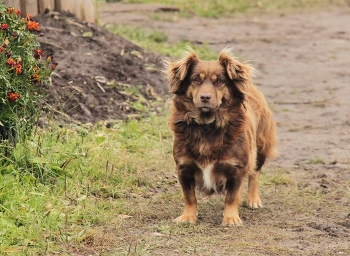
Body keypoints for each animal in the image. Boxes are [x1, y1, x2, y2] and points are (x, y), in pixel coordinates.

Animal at [165, 48, 278, 226]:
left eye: (219, 82)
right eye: (195, 80)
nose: (205, 97)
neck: (207, 126)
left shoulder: (236, 168)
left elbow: (231, 197)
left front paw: (231, 218)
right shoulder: (183, 167)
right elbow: (189, 197)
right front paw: (188, 217)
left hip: (260, 148)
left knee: (255, 173)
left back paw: (253, 200)